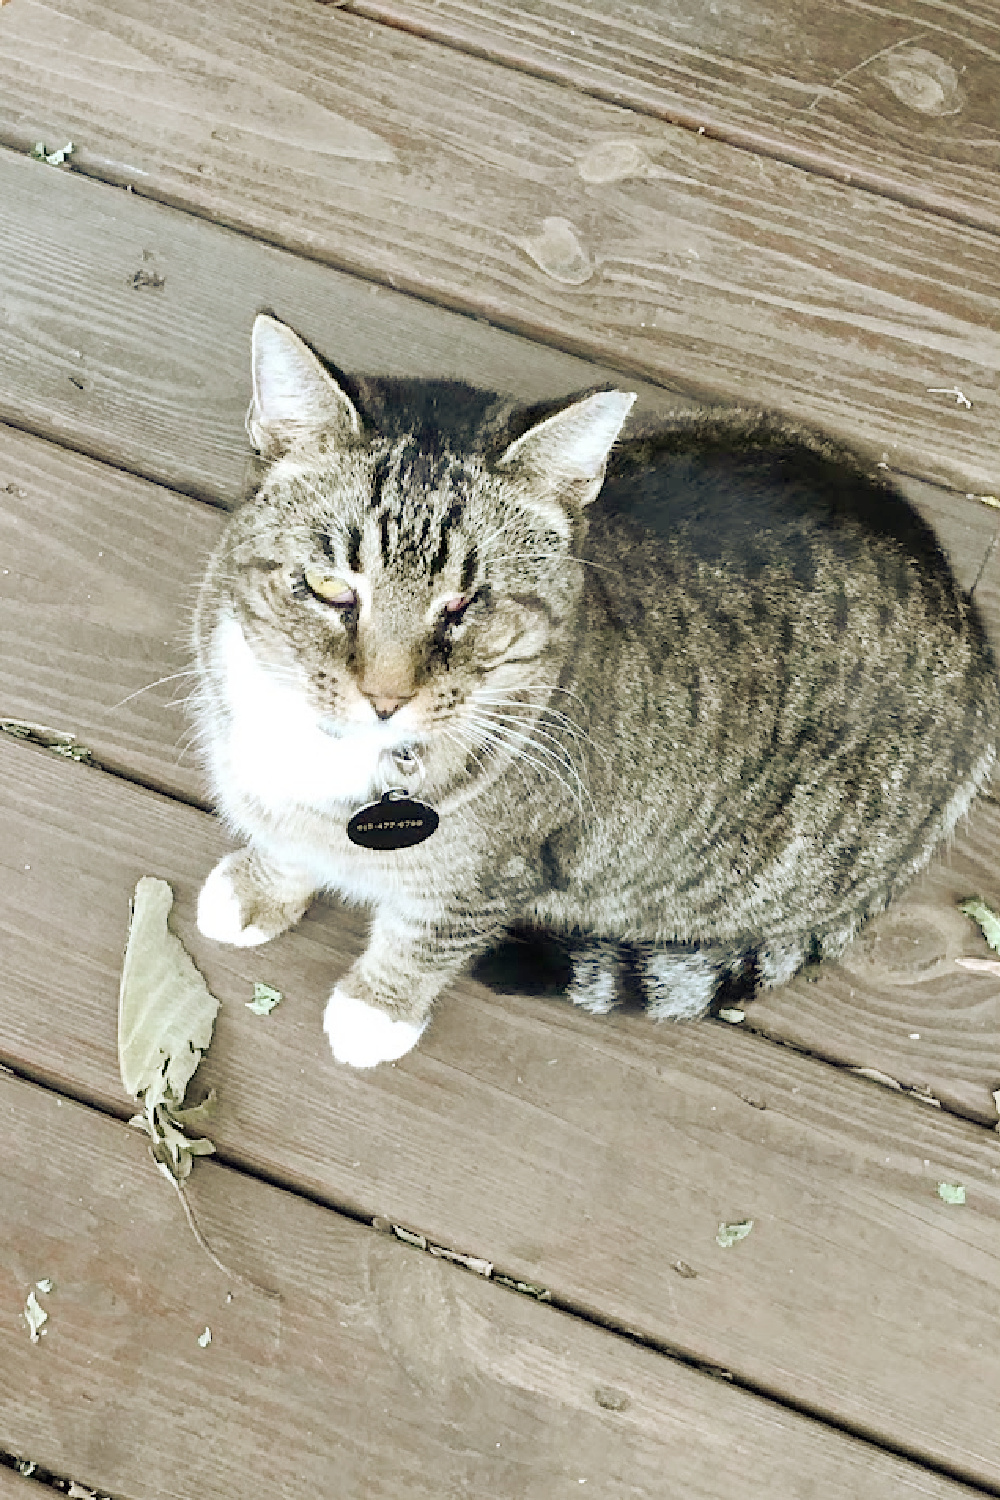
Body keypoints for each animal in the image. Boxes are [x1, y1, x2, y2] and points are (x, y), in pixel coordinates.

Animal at [191, 313, 995, 1068]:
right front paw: (260, 887)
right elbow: (288, 844)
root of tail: (977, 639)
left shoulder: (496, 878)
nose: (384, 699)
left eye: (467, 603)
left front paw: (377, 1009)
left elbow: (427, 937)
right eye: (330, 587)